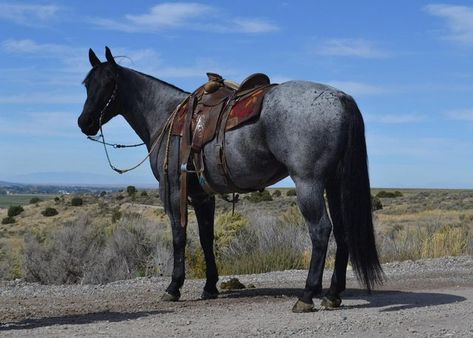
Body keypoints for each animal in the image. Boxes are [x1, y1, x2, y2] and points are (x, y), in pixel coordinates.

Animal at [75, 46, 382, 312]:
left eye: (110, 82)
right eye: (87, 83)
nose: (84, 122)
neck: (165, 116)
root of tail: (340, 98)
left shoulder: (172, 191)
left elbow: (178, 236)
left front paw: (173, 287)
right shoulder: (202, 196)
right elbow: (206, 238)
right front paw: (210, 286)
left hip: (309, 183)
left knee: (320, 230)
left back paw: (307, 296)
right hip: (334, 183)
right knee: (342, 231)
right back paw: (332, 294)